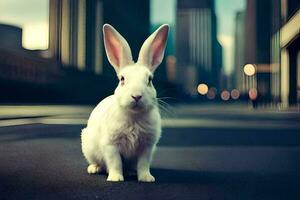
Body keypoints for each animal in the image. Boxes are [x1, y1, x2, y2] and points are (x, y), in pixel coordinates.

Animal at [80, 24, 169, 182]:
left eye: (150, 80)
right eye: (122, 79)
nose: (136, 96)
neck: (134, 116)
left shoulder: (147, 147)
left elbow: (143, 164)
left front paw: (146, 178)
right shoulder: (111, 145)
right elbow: (115, 162)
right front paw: (116, 178)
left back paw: (131, 172)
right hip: (88, 147)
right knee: (97, 161)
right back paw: (94, 168)